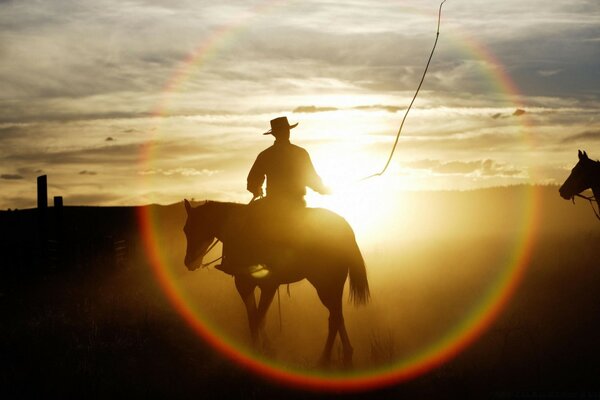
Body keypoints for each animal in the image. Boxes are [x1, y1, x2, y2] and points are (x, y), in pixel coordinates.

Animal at [183, 198, 370, 368]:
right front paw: (265, 348)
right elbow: (254, 318)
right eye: (185, 229)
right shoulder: (244, 286)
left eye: (195, 227)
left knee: (334, 318)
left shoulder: (269, 286)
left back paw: (324, 360)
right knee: (337, 316)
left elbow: (258, 318)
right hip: (332, 286)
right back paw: (346, 355)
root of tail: (345, 228)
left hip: (325, 284)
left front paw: (260, 350)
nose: (189, 262)